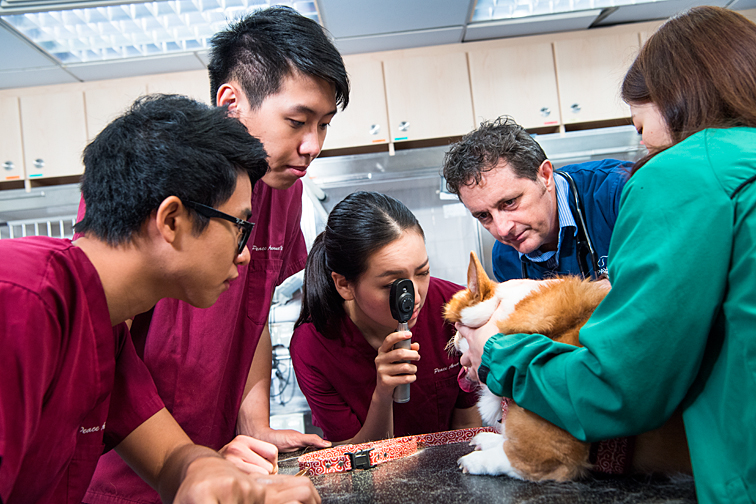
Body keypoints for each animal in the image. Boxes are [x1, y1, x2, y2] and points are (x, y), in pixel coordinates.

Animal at [442, 252, 692, 480]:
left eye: (458, 329)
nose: (452, 341)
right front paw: (489, 438)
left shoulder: (544, 452)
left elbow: (507, 455)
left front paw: (474, 460)